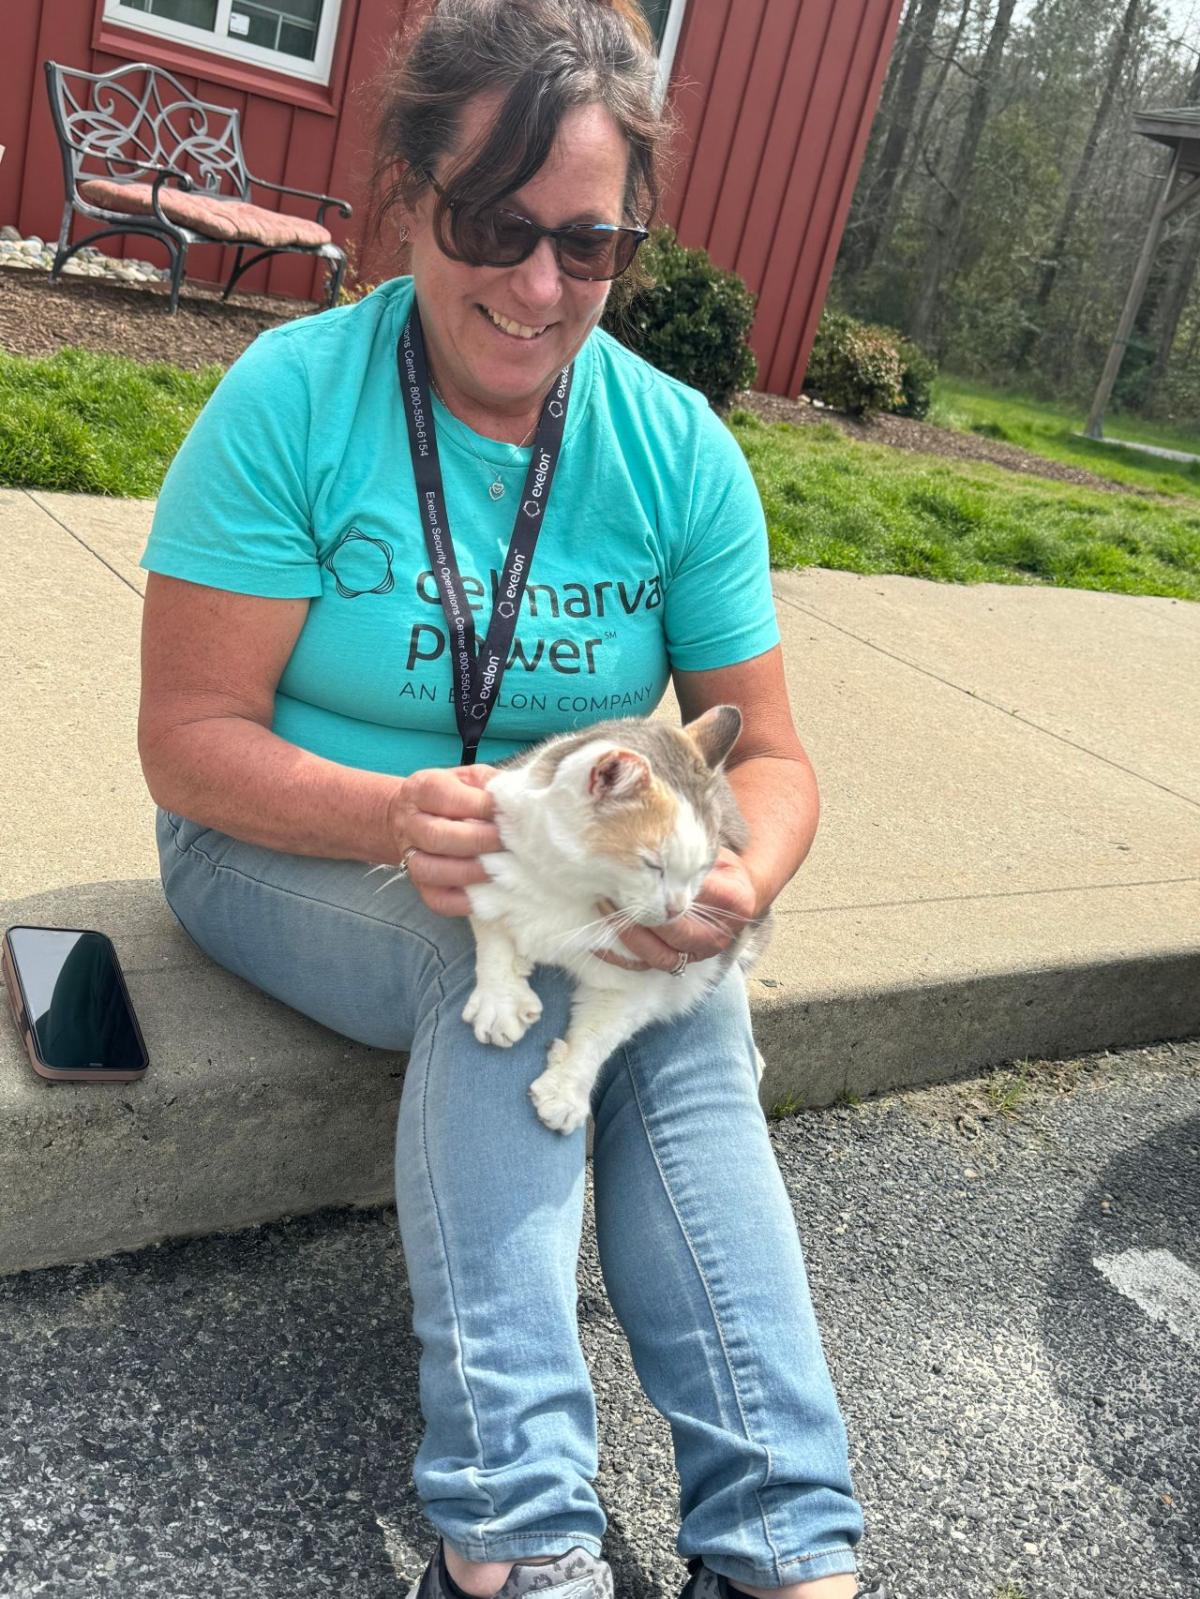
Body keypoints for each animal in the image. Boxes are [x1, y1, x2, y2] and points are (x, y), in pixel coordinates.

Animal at [460, 703, 771, 1138]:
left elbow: (598, 1034)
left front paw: (565, 1092)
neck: (573, 891)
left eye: (704, 867)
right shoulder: (486, 867)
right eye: (653, 864)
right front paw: (499, 1004)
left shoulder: (632, 982)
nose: (677, 909)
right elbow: (494, 939)